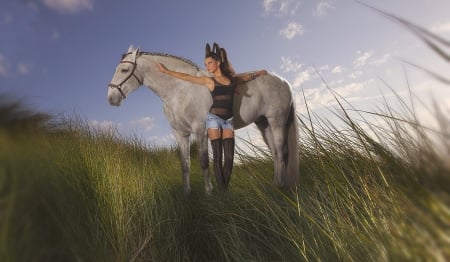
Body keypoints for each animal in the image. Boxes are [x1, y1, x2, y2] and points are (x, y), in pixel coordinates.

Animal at [107, 46, 298, 194]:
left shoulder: (200, 130)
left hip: (276, 122)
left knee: (281, 152)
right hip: (263, 124)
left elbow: (204, 161)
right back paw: (275, 184)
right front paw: (187, 192)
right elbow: (185, 164)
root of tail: (284, 82)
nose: (111, 98)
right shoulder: (180, 134)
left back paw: (280, 187)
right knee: (275, 153)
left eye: (124, 70)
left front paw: (209, 191)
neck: (180, 90)